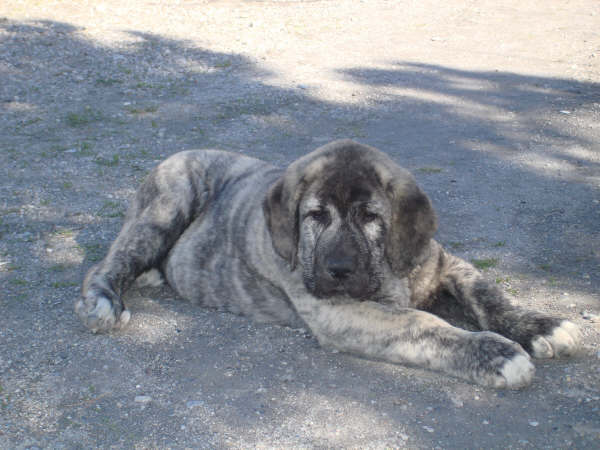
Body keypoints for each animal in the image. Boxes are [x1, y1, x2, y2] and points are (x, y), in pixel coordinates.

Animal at [76, 140, 580, 386]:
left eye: (371, 217)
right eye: (315, 216)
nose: (338, 270)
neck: (385, 269)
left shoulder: (444, 265)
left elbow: (488, 294)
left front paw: (541, 324)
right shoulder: (339, 310)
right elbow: (420, 323)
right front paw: (494, 353)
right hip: (169, 201)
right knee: (107, 262)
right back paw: (104, 301)